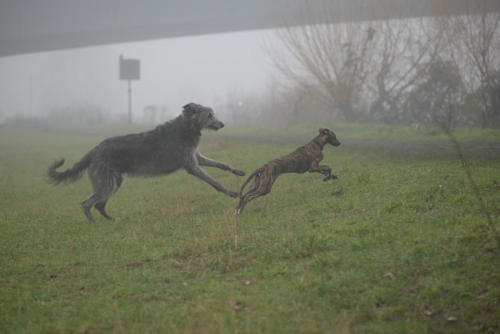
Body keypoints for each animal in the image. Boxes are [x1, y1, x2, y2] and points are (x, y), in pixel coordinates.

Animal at [47, 103, 245, 220]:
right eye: (209, 115)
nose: (222, 124)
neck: (186, 127)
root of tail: (94, 150)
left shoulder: (197, 158)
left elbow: (221, 164)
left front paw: (238, 171)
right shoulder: (191, 165)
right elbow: (214, 181)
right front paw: (232, 193)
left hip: (114, 182)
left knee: (99, 204)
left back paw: (111, 220)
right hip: (106, 182)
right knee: (87, 203)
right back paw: (93, 223)